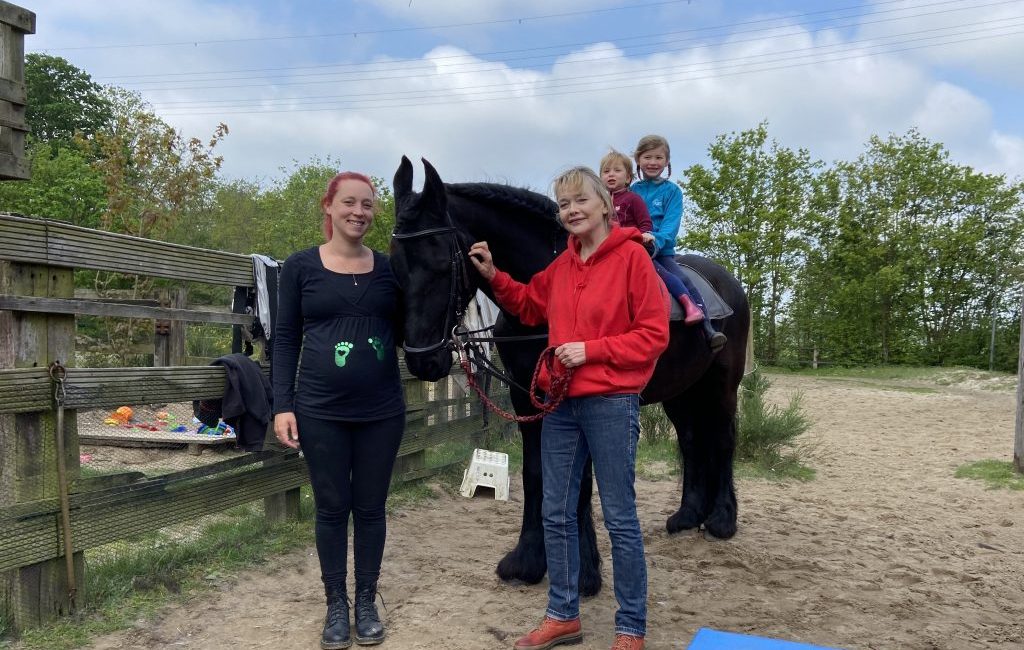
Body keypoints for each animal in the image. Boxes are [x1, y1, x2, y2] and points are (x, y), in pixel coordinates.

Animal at [387, 156, 749, 593]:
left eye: (442, 263)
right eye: (394, 265)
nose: (422, 361)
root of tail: (725, 283)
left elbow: (579, 484)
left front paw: (584, 572)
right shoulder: (527, 398)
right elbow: (535, 474)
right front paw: (527, 561)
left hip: (722, 387)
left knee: (724, 440)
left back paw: (722, 519)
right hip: (682, 391)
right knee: (694, 441)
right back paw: (688, 516)